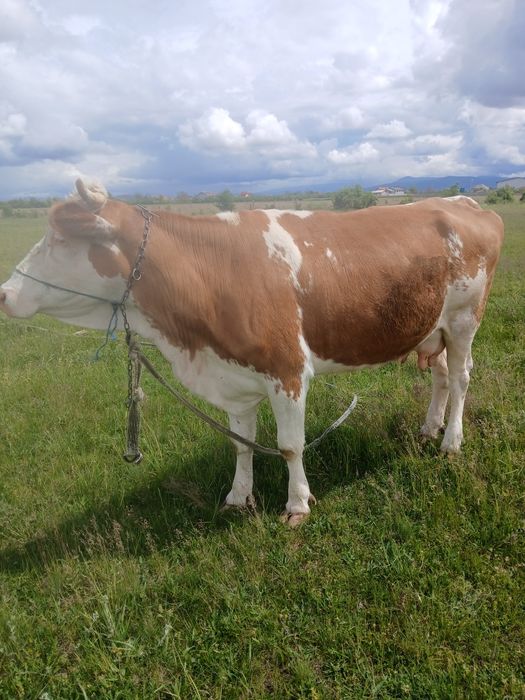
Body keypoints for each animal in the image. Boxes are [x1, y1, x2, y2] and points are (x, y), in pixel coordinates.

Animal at [0, 180, 504, 525]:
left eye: (60, 241)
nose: (5, 294)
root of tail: (462, 203)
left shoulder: (288, 371)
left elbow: (289, 445)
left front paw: (297, 504)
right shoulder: (235, 376)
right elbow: (240, 443)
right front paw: (238, 497)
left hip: (465, 318)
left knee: (461, 378)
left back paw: (451, 441)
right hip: (433, 327)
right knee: (440, 375)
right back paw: (428, 427)